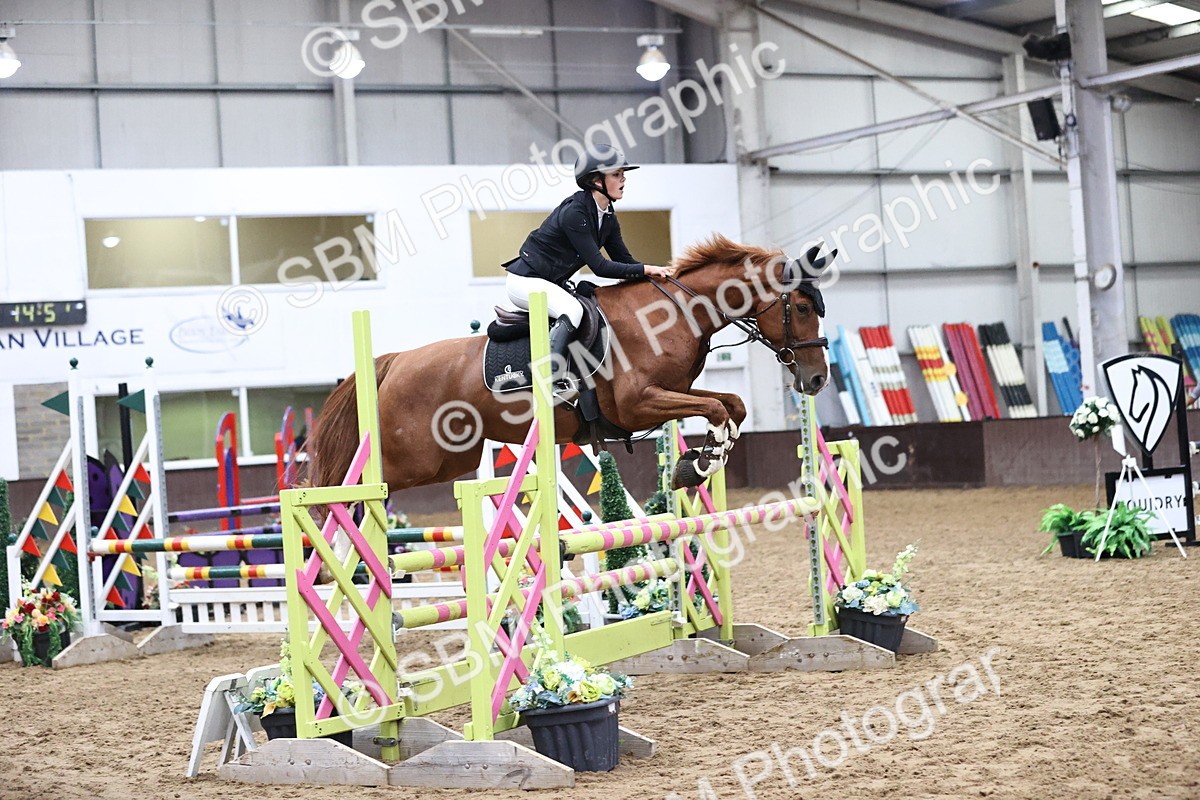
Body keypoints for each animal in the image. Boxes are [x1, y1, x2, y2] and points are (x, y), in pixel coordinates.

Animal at [307, 234, 833, 497]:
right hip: (412, 459)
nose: (817, 378)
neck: (675, 311)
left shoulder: (672, 394)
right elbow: (721, 409)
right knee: (352, 491)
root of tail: (394, 363)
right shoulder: (639, 404)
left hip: (450, 459)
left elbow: (731, 403)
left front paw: (698, 464)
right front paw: (701, 463)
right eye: (803, 307)